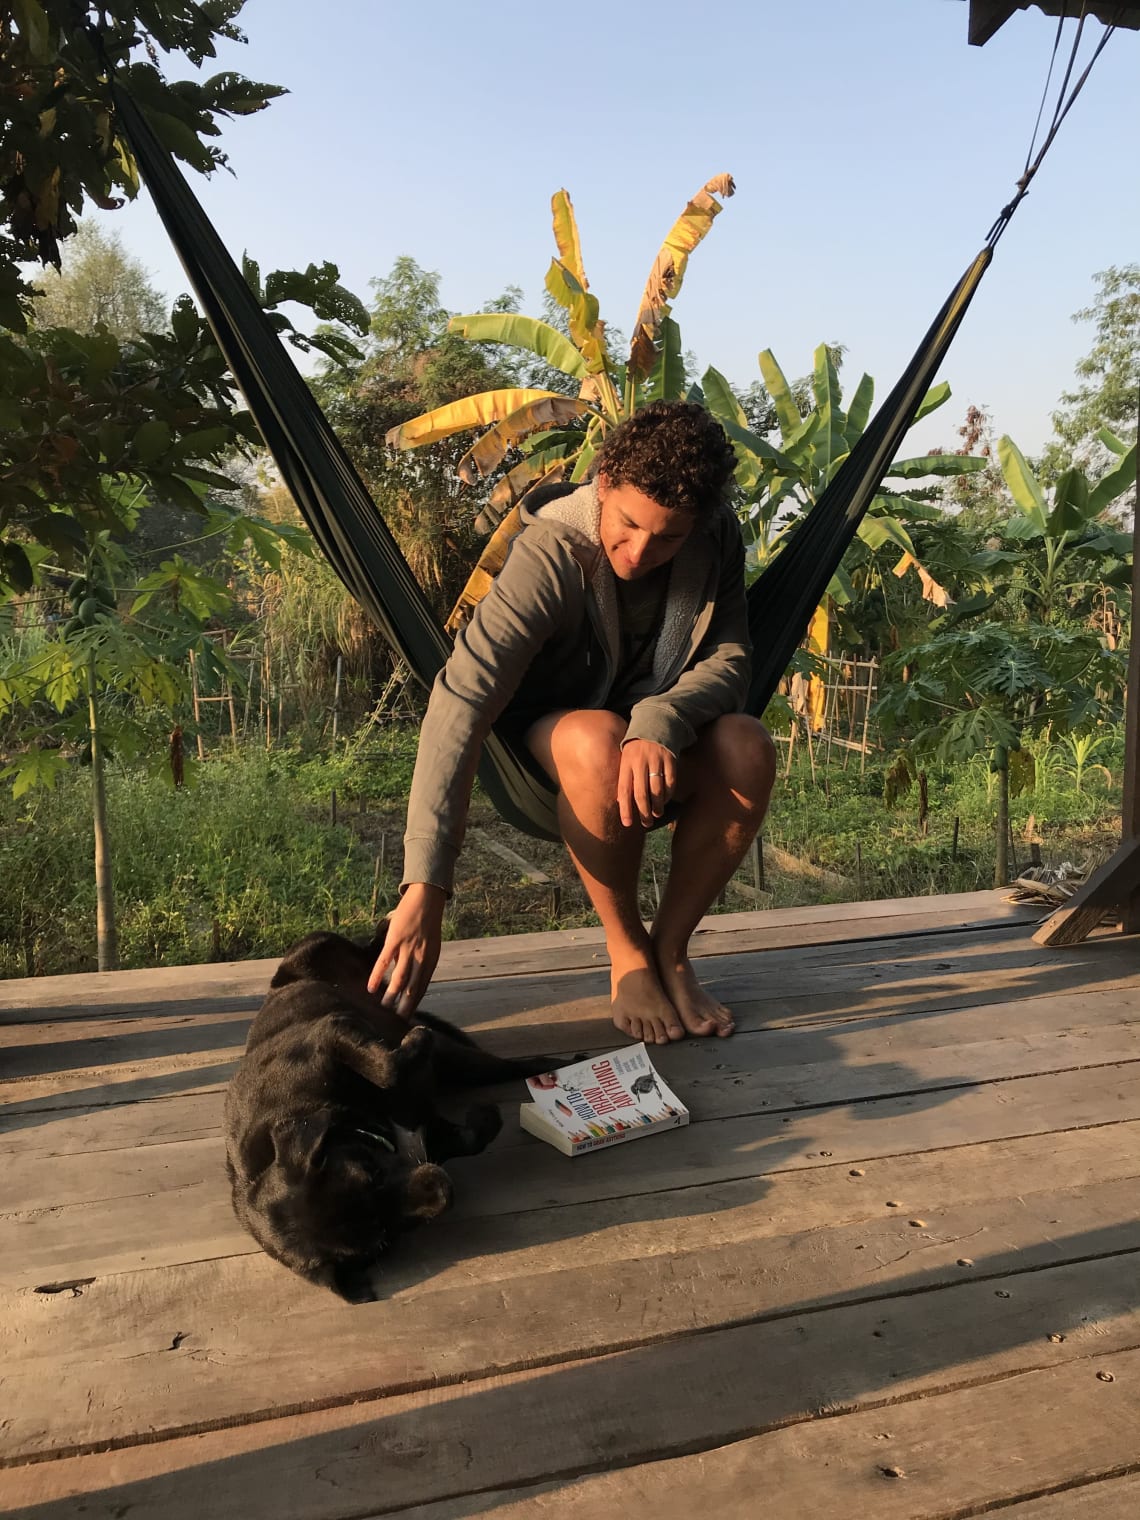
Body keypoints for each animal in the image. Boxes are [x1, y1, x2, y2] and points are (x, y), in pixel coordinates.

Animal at [223, 924, 553, 1307]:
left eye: (372, 1174)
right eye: (386, 1234)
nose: (444, 1191)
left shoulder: (330, 1032)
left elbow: (386, 1067)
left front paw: (413, 1045)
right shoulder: (427, 1136)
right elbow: (469, 1137)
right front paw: (482, 1118)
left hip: (319, 949)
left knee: (367, 952)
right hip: (459, 1065)